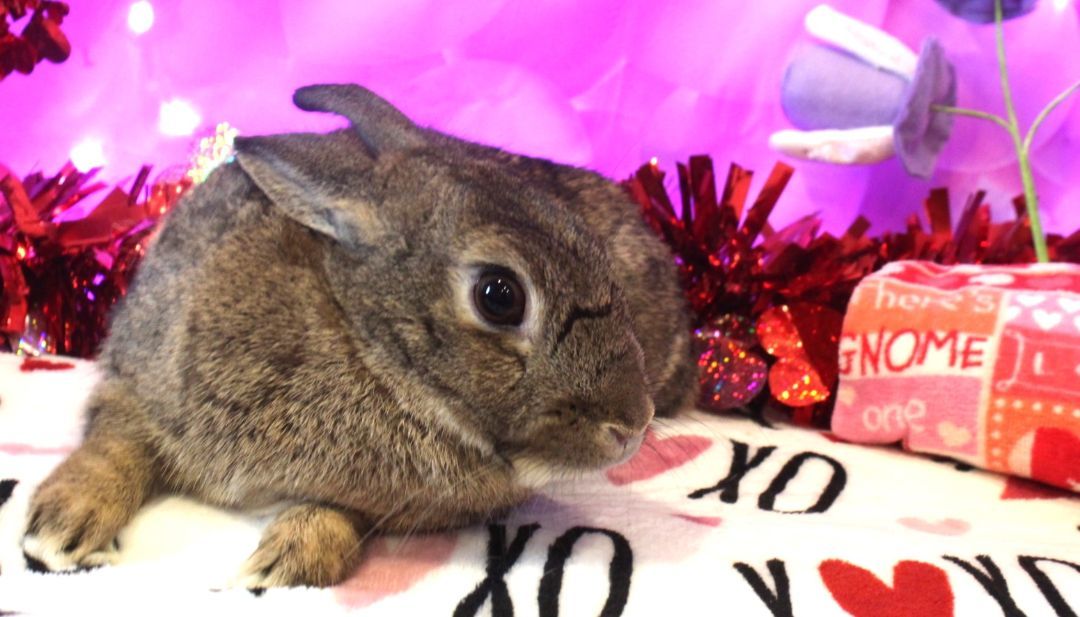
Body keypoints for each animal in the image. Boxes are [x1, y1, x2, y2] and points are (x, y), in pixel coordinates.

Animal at [21, 84, 697, 588]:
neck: (361, 339)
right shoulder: (144, 381)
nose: (632, 425)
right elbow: (115, 445)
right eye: (500, 295)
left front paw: (287, 560)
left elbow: (338, 511)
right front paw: (59, 526)